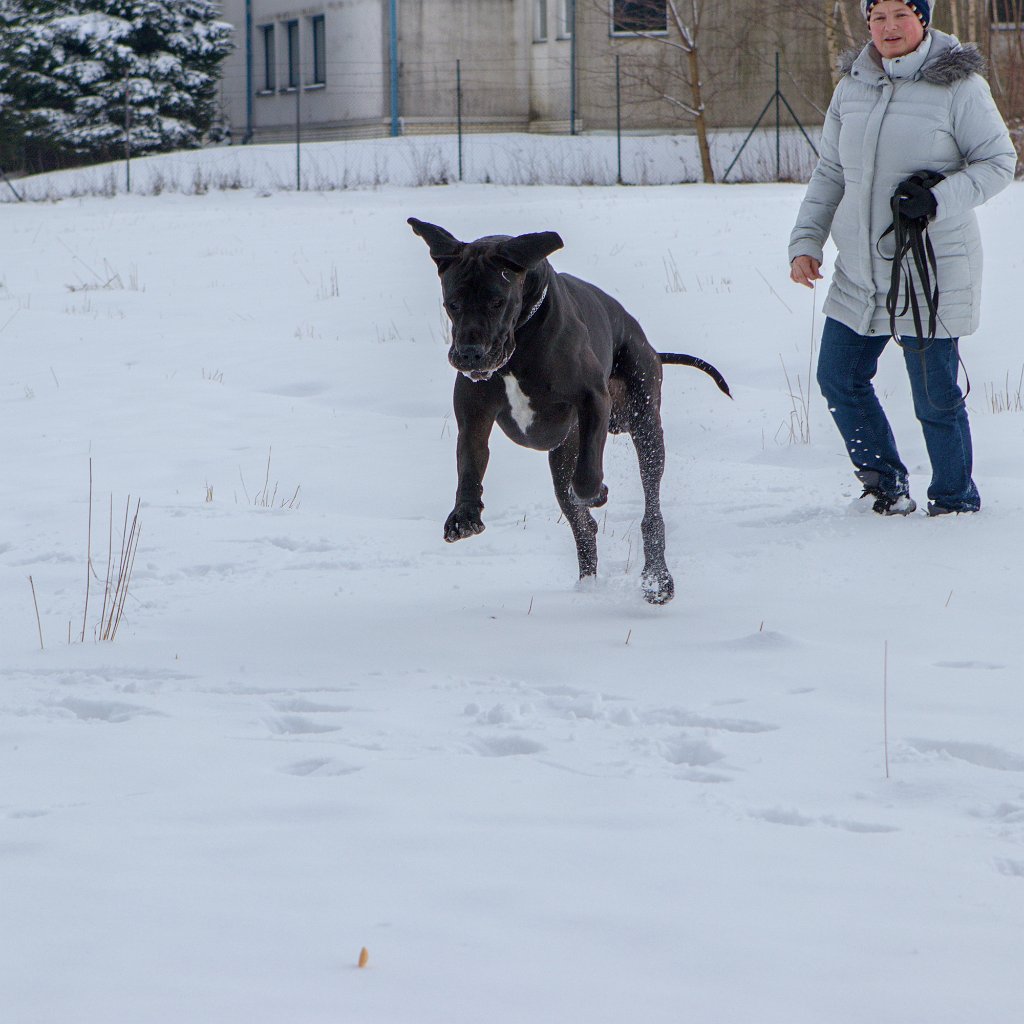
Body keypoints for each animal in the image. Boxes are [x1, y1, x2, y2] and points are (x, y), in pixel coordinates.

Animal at [405, 216, 729, 598]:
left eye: (497, 302)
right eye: (452, 304)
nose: (470, 354)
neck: (521, 337)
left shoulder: (593, 400)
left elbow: (588, 476)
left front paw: (597, 491)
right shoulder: (473, 416)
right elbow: (469, 462)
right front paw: (465, 515)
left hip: (642, 421)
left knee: (649, 509)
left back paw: (656, 578)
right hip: (563, 456)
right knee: (583, 526)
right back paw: (587, 588)